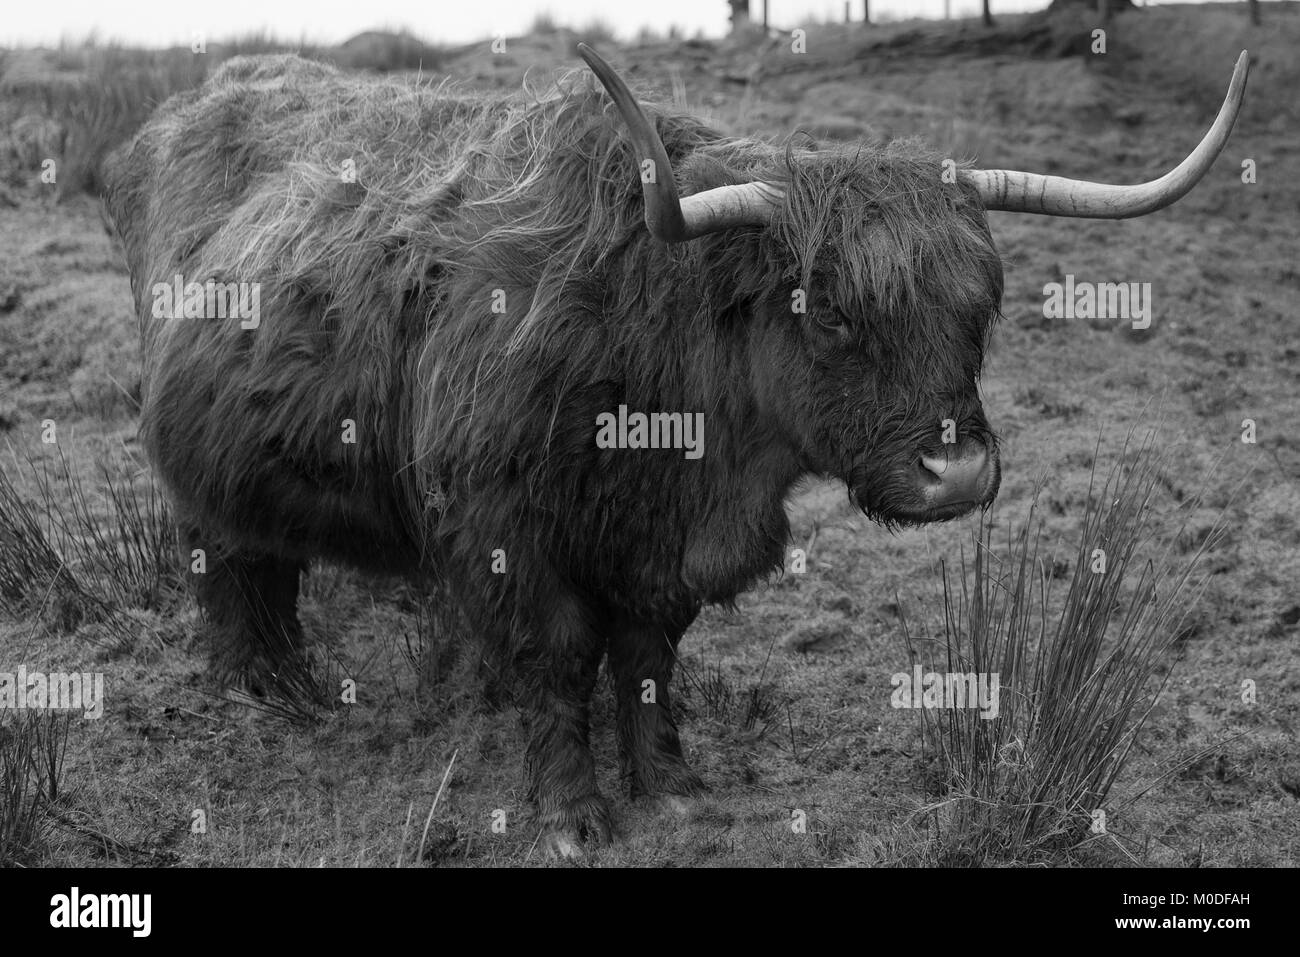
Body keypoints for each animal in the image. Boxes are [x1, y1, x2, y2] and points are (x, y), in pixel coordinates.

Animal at [102, 46, 1248, 856]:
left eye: (980, 308)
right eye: (830, 310)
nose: (957, 471)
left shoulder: (662, 550)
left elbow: (650, 656)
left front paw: (671, 787)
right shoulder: (501, 531)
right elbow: (558, 659)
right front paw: (572, 815)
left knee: (265, 561)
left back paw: (290, 681)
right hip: (193, 471)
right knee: (224, 564)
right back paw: (262, 693)